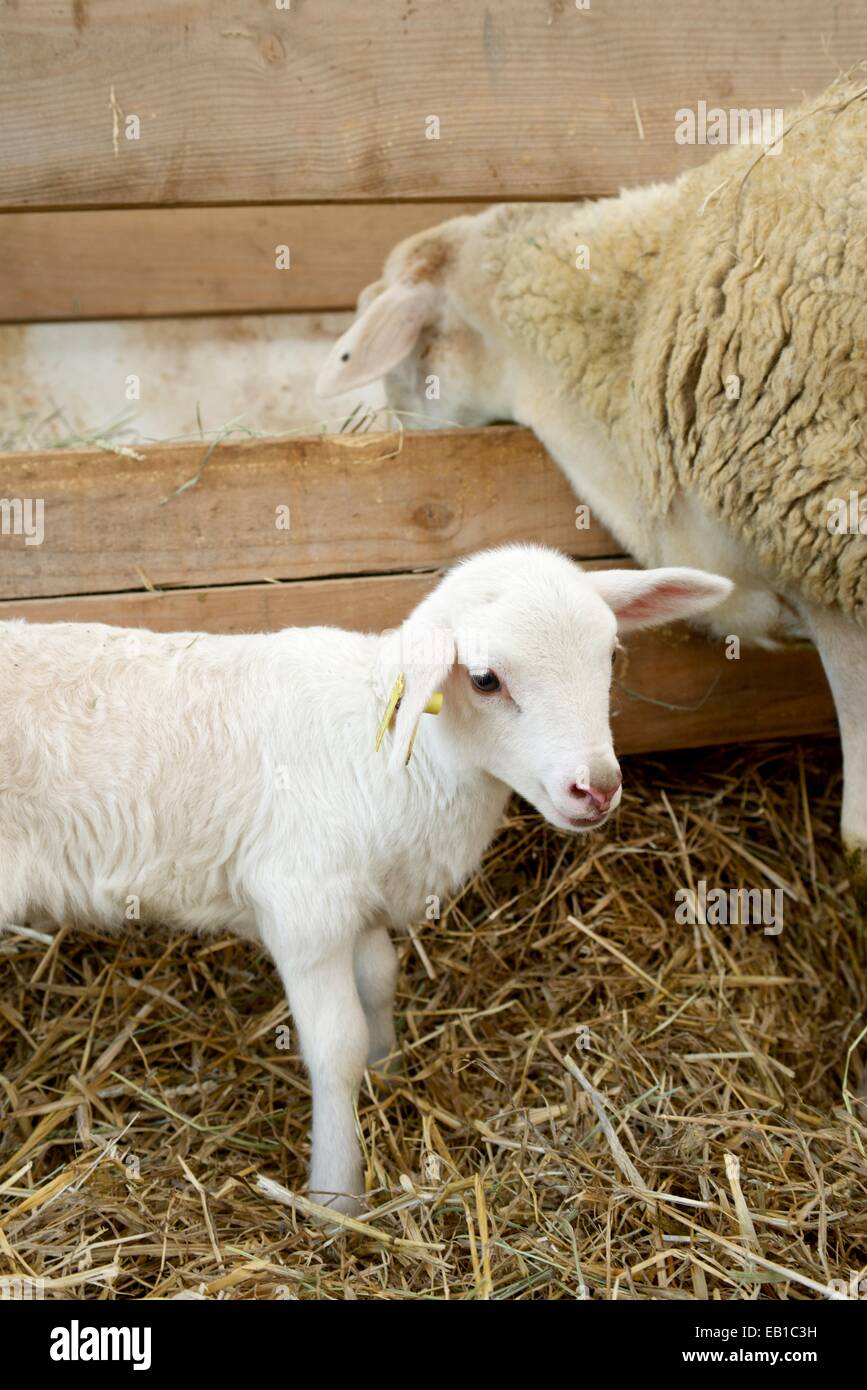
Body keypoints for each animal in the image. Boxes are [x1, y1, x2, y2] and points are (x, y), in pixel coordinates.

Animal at [0, 545, 731, 1212]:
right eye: (485, 679)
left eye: (610, 655)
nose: (596, 788)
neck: (403, 755)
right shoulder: (305, 908)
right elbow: (335, 1049)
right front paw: (337, 1195)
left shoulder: (366, 899)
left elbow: (381, 979)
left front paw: (390, 1066)